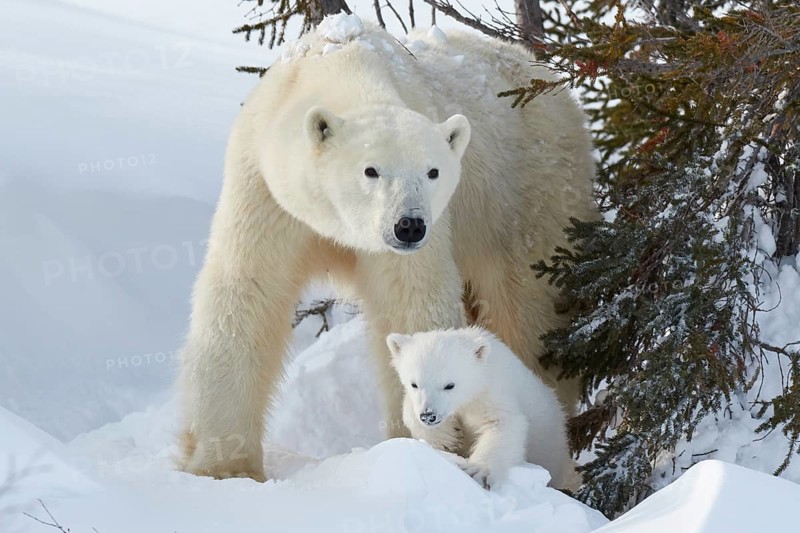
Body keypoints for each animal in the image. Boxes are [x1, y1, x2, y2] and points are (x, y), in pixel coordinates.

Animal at [387, 327, 575, 490]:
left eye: (449, 385)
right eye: (414, 384)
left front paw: (478, 471)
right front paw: (447, 437)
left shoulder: (492, 392)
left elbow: (504, 423)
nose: (428, 415)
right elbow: (409, 411)